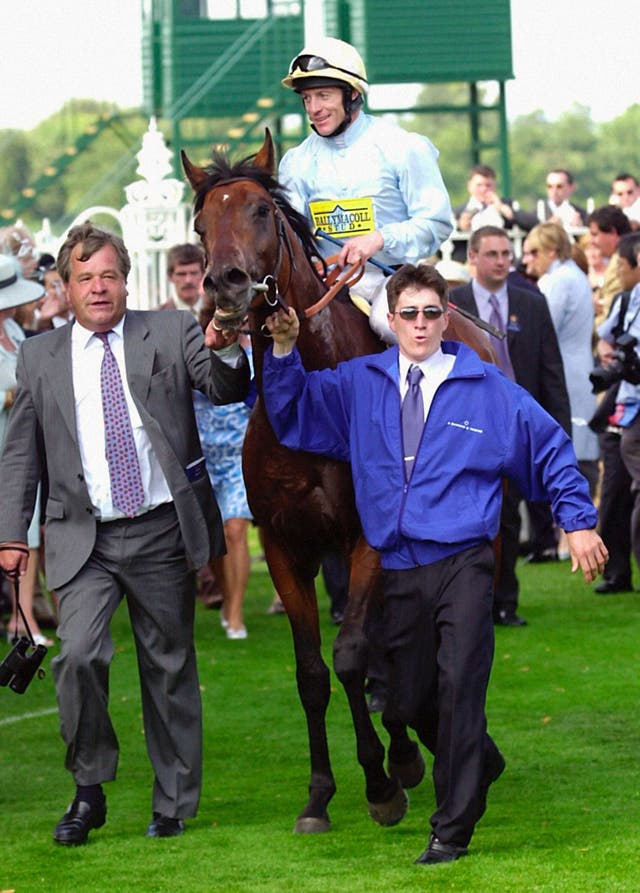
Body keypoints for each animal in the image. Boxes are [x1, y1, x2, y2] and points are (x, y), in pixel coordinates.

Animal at [181, 129, 496, 832]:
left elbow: (354, 655)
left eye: (261, 211)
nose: (225, 285)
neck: (317, 403)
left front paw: (383, 780)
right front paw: (320, 794)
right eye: (199, 223)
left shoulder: (368, 541)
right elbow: (312, 673)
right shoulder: (285, 546)